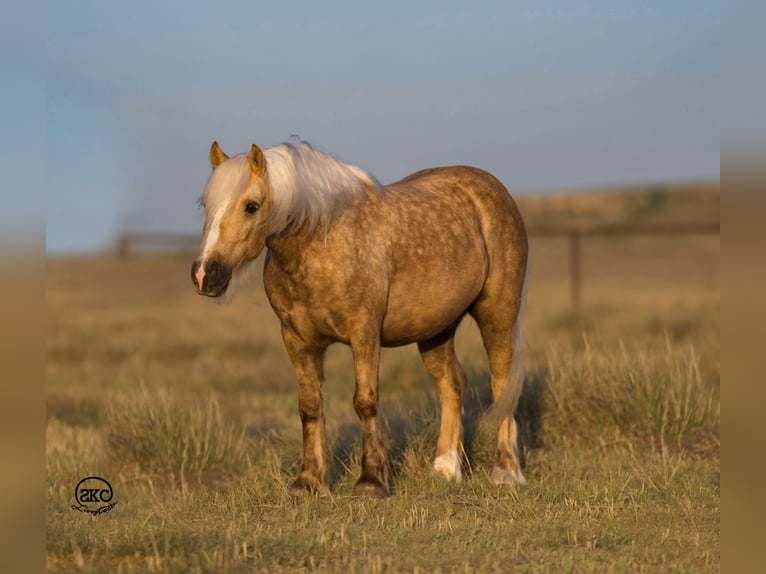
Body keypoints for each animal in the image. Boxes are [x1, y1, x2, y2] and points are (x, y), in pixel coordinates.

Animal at [192, 141, 528, 500]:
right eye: (206, 205)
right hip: (436, 330)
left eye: (251, 206)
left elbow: (365, 401)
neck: (323, 240)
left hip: (498, 313)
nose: (204, 274)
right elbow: (309, 406)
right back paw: (446, 470)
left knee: (501, 383)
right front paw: (309, 482)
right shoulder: (297, 340)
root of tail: (492, 188)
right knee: (452, 383)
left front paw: (371, 481)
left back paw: (506, 471)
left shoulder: (364, 333)